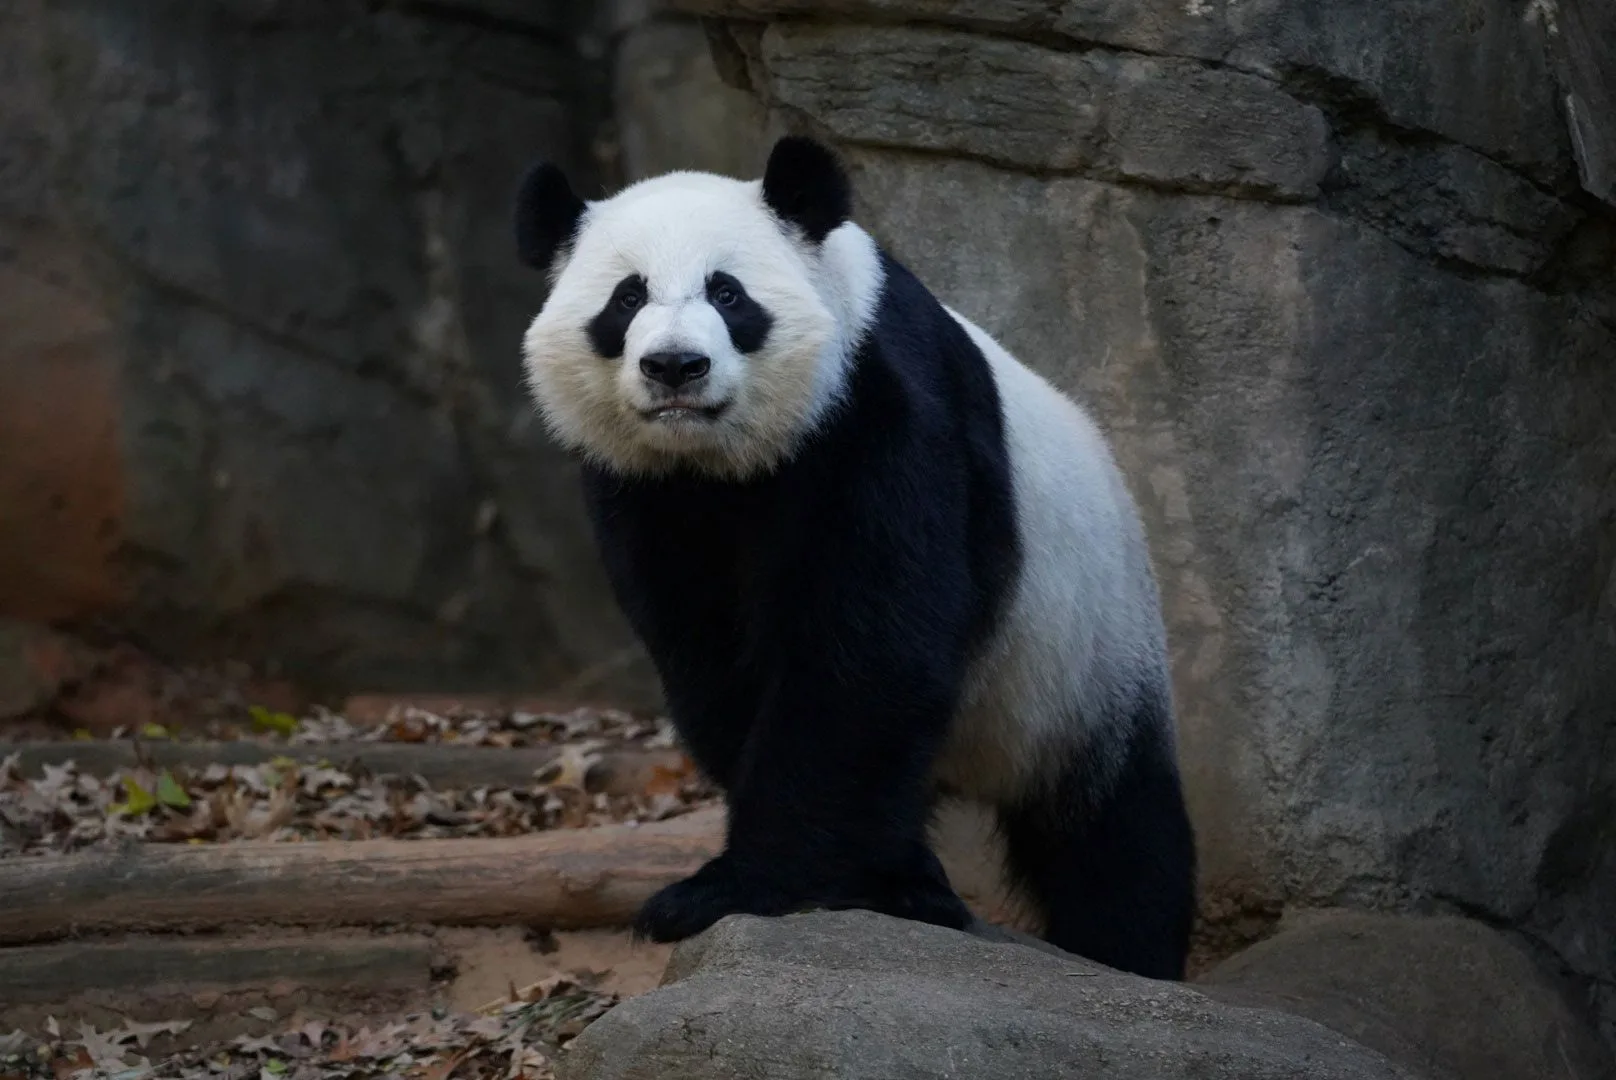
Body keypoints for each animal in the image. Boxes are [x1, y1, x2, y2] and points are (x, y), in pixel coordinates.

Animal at [513, 135, 1197, 981]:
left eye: (728, 294)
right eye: (626, 299)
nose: (675, 366)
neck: (722, 462)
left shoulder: (879, 412)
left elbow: (867, 656)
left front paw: (729, 888)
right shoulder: (648, 492)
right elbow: (713, 660)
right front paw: (846, 876)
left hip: (1087, 655)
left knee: (1116, 833)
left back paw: (1125, 951)